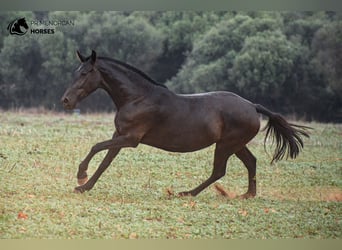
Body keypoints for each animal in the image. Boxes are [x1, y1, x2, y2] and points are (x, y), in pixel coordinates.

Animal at [61, 49, 310, 198]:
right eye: (75, 71)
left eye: (85, 73)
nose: (66, 100)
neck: (137, 97)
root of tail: (252, 106)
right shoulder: (119, 136)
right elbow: (105, 161)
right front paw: (84, 186)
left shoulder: (130, 139)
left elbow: (96, 147)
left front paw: (81, 175)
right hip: (236, 145)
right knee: (250, 162)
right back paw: (247, 195)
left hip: (226, 145)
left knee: (219, 171)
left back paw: (186, 193)